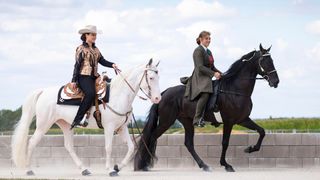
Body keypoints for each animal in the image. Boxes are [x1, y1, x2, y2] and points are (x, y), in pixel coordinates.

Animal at [11, 58, 161, 176]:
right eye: (151, 78)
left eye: (158, 77)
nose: (157, 98)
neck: (117, 95)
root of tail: (43, 92)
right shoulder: (109, 127)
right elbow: (108, 147)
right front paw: (110, 170)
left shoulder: (122, 128)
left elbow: (130, 148)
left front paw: (117, 167)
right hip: (44, 125)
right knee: (32, 142)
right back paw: (29, 170)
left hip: (65, 125)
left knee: (69, 146)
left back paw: (84, 169)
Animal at [134, 43, 278, 172]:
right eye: (264, 61)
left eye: (272, 60)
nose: (276, 82)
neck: (235, 90)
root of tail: (164, 93)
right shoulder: (229, 121)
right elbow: (225, 142)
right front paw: (226, 165)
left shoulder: (242, 119)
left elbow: (262, 131)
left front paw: (250, 149)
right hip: (166, 121)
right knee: (153, 136)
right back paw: (146, 164)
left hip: (186, 121)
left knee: (188, 144)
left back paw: (204, 165)